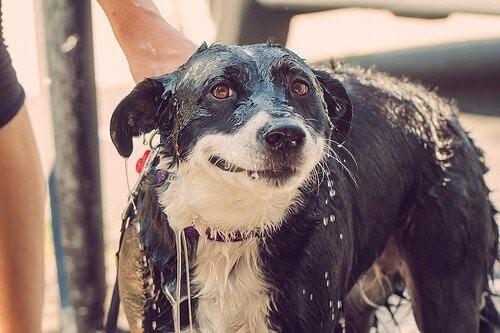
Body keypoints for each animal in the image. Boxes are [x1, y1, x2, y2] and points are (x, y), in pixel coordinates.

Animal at [110, 42, 500, 330]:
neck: (233, 232)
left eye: (300, 87)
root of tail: (441, 107)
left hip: (445, 292)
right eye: (220, 90)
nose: (285, 135)